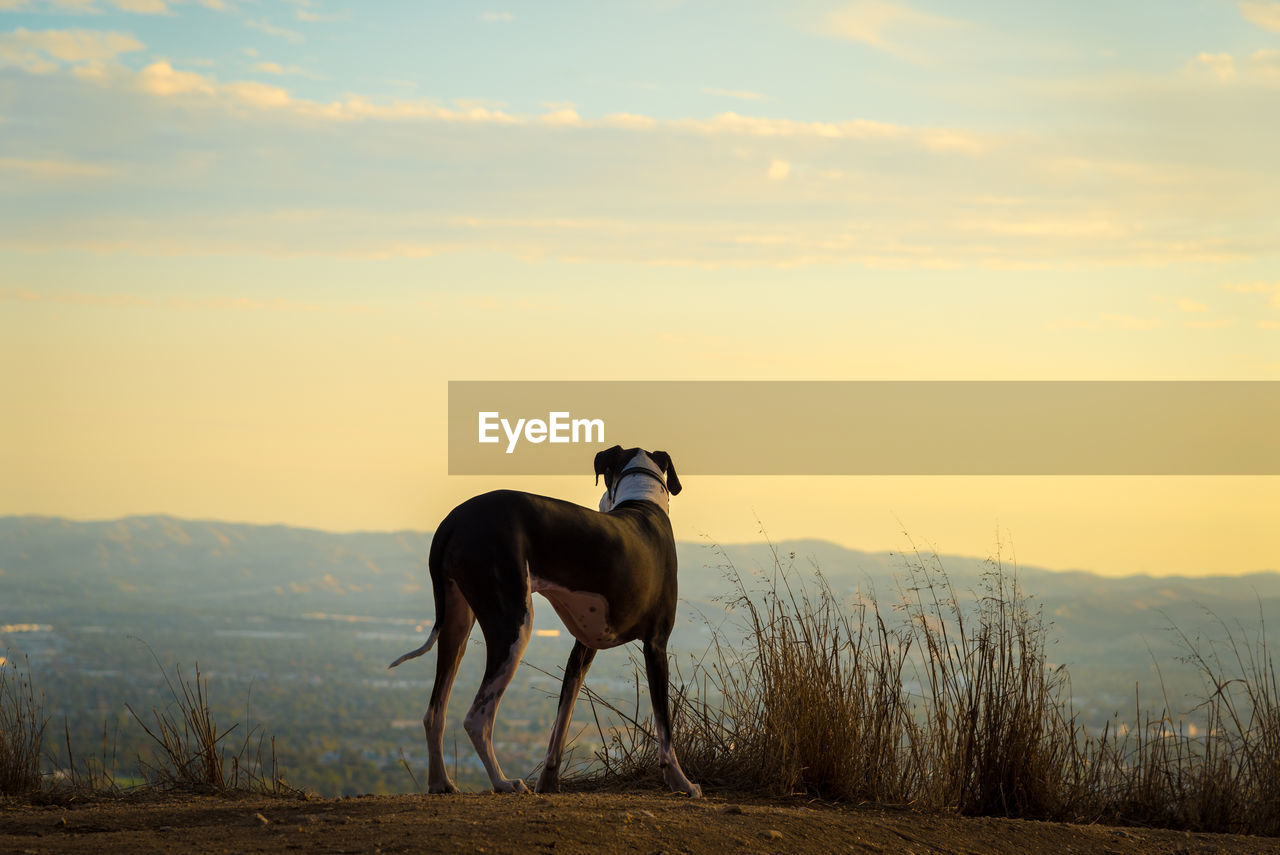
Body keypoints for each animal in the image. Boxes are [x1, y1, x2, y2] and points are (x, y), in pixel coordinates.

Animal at [389, 445, 701, 798]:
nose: (600, 504)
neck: (643, 500)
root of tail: (454, 521)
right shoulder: (656, 645)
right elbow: (665, 726)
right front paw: (682, 782)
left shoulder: (582, 651)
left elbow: (561, 722)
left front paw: (549, 781)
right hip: (513, 625)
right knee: (477, 718)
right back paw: (503, 782)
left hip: (456, 626)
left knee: (435, 712)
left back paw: (440, 782)